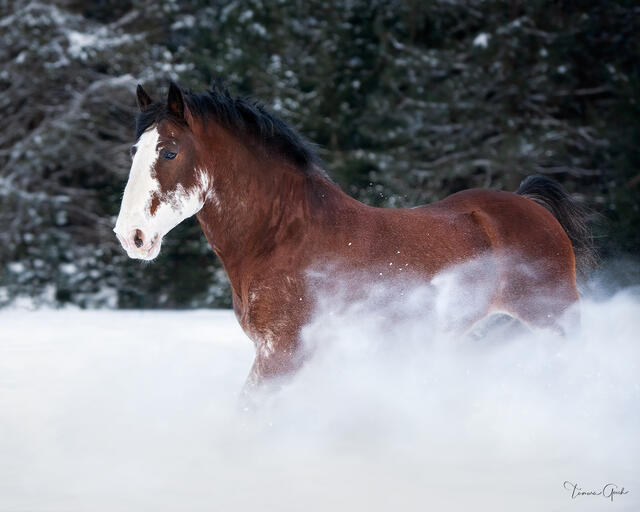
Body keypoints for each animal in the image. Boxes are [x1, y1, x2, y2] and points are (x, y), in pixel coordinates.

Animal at [114, 82, 593, 389]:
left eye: (169, 151)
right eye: (135, 151)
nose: (130, 235)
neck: (282, 237)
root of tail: (531, 204)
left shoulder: (283, 352)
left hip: (555, 318)